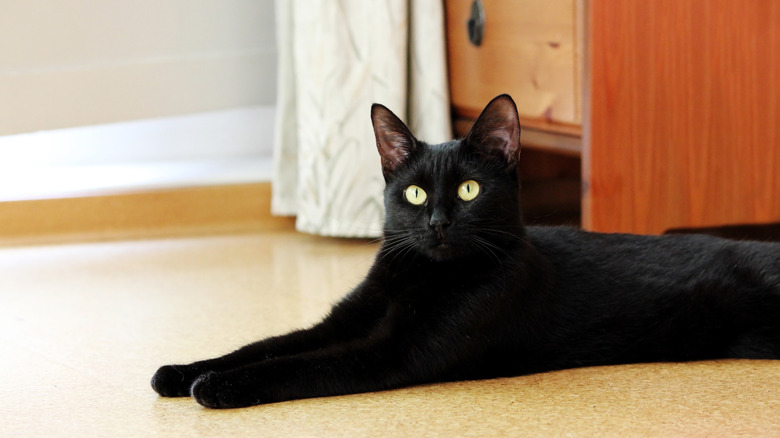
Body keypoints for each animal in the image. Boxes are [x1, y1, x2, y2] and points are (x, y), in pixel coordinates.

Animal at [151, 94, 780, 408]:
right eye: (414, 192)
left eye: (469, 190)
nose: (437, 222)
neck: (418, 278)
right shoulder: (341, 323)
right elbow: (264, 345)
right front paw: (182, 372)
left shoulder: (397, 352)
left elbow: (298, 365)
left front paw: (220, 388)